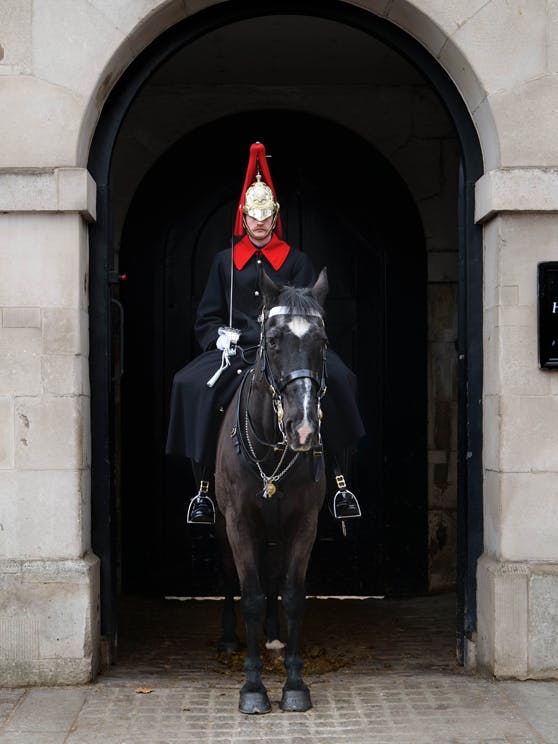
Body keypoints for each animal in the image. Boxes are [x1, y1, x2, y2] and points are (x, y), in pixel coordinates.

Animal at [213, 268, 328, 716]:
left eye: (322, 342)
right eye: (274, 340)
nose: (303, 428)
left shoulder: (304, 523)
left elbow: (292, 594)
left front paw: (294, 684)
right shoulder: (239, 523)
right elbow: (252, 596)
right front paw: (252, 687)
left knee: (274, 574)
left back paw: (274, 635)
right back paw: (231, 638)